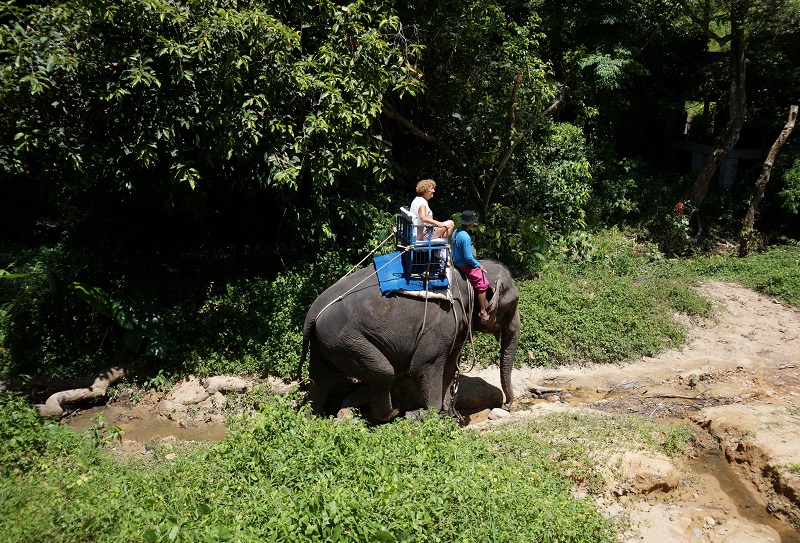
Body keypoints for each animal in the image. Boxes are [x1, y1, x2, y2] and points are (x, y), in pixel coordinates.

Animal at [299, 259, 520, 422]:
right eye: (511, 307)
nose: (508, 405)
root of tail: (313, 312)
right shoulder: (444, 320)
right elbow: (424, 364)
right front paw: (428, 417)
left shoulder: (457, 324)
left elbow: (449, 366)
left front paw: (447, 416)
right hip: (344, 339)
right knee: (383, 373)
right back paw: (393, 412)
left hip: (325, 344)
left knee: (320, 380)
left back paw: (311, 420)